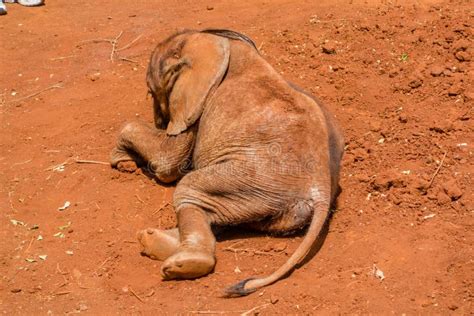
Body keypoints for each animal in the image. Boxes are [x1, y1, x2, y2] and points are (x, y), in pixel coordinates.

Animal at [109, 29, 342, 296]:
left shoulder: (194, 105)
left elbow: (168, 163)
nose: (159, 122)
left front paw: (122, 160)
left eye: (150, 91)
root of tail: (321, 189)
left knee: (190, 189)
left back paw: (182, 264)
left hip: (252, 180)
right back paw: (150, 240)